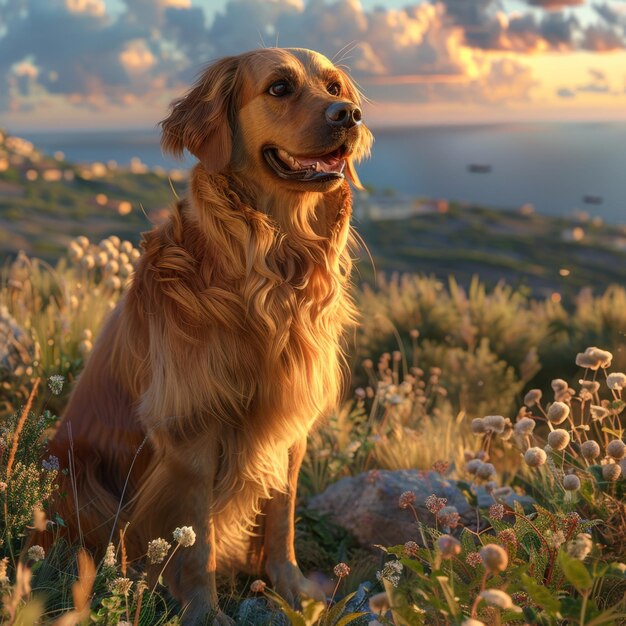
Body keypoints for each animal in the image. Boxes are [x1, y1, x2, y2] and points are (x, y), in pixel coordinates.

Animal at [42, 46, 370, 620]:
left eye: (334, 88)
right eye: (280, 88)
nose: (348, 115)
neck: (268, 267)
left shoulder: (289, 424)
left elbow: (280, 520)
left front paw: (291, 589)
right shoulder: (193, 428)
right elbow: (196, 541)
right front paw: (204, 611)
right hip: (77, 475)